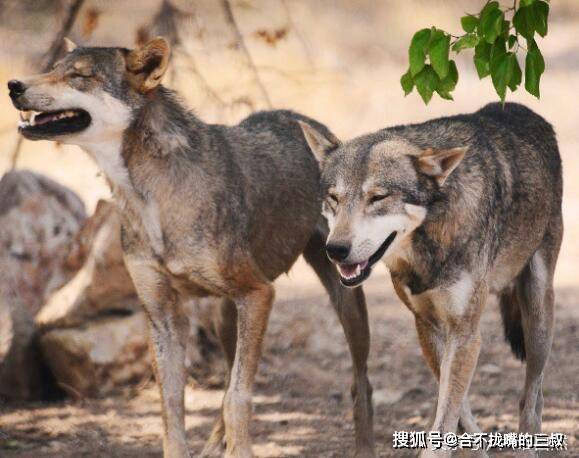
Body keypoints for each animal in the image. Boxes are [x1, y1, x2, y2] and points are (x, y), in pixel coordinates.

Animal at [10, 36, 376, 458]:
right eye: (54, 68)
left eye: (79, 76)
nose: (14, 85)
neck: (150, 197)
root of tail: (311, 125)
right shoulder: (163, 316)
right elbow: (172, 407)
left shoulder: (259, 293)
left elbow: (237, 398)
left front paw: (242, 449)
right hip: (224, 317)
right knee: (228, 384)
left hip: (342, 302)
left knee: (360, 382)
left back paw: (363, 446)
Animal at [302, 102, 564, 456]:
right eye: (334, 198)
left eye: (378, 198)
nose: (336, 250)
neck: (428, 243)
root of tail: (521, 109)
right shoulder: (427, 325)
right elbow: (453, 405)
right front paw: (471, 447)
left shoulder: (465, 332)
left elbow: (449, 410)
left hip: (537, 318)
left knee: (532, 397)